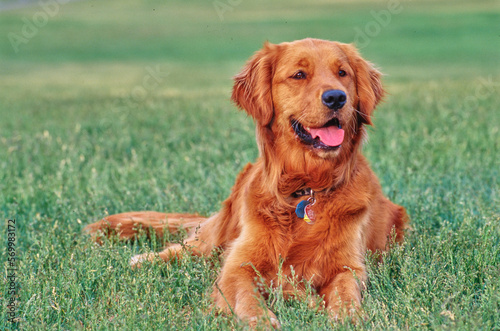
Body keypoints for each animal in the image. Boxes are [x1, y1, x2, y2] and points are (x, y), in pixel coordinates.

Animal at [85, 38, 406, 326]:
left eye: (342, 73)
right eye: (299, 75)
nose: (337, 98)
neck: (306, 189)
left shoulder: (348, 265)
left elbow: (346, 292)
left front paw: (348, 317)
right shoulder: (237, 266)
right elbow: (247, 298)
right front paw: (262, 321)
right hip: (211, 240)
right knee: (184, 248)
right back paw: (144, 259)